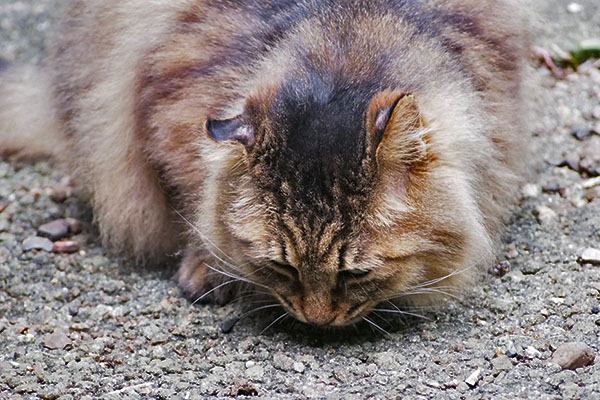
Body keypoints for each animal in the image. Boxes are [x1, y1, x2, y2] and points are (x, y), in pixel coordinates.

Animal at [0, 0, 524, 326]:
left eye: (356, 275)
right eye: (282, 268)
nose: (317, 320)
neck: (346, 52)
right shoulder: (169, 103)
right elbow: (195, 198)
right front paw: (205, 264)